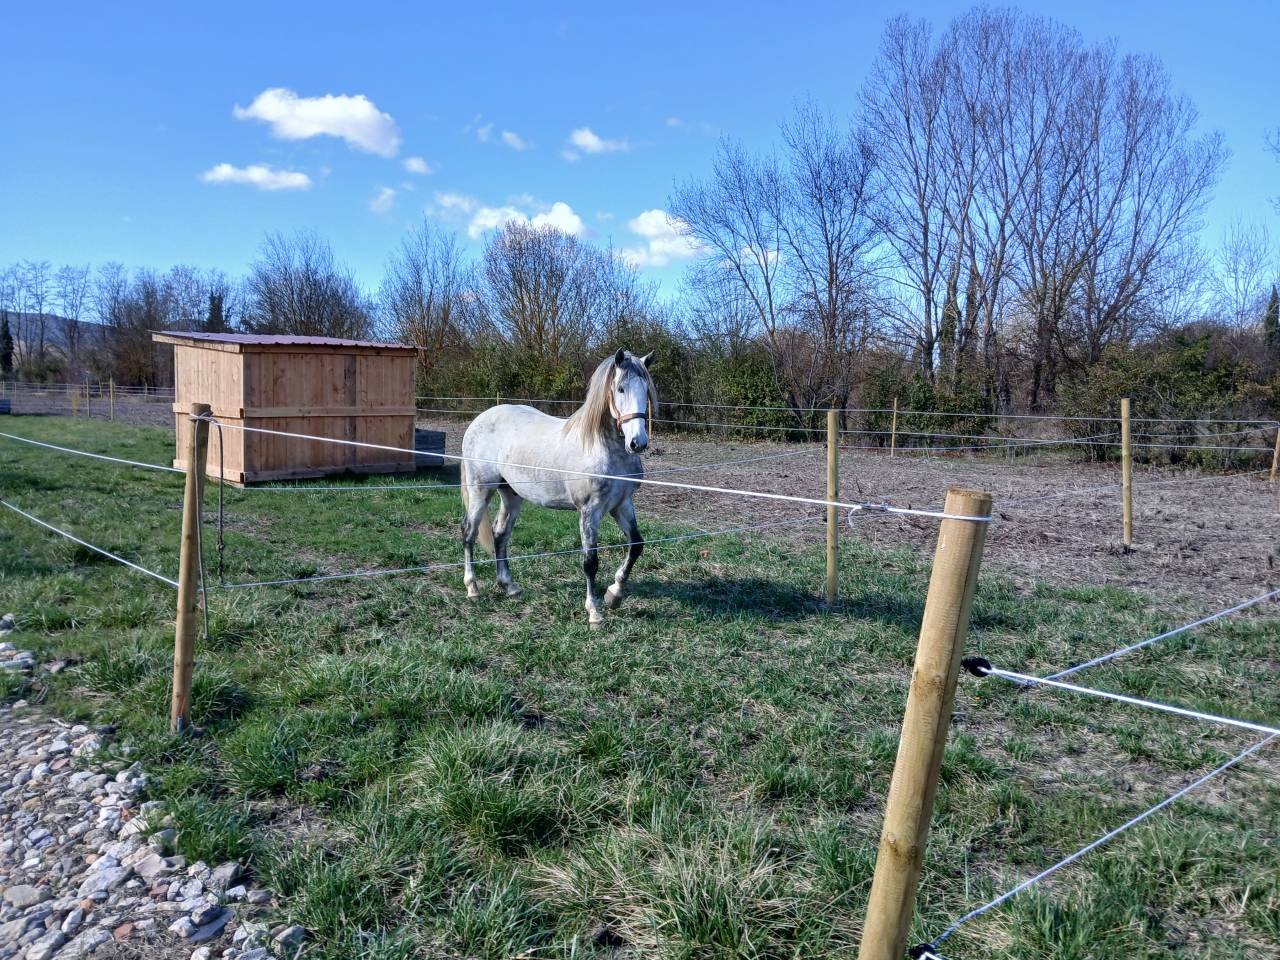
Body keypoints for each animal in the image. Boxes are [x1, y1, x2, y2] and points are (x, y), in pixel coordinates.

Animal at [459, 348, 656, 626]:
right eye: (620, 388)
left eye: (645, 389)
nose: (638, 442)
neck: (601, 446)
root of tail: (479, 420)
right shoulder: (590, 511)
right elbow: (590, 562)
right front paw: (594, 613)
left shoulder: (621, 504)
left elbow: (637, 545)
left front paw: (614, 594)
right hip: (480, 489)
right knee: (469, 532)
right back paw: (473, 588)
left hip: (511, 494)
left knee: (500, 534)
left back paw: (509, 586)